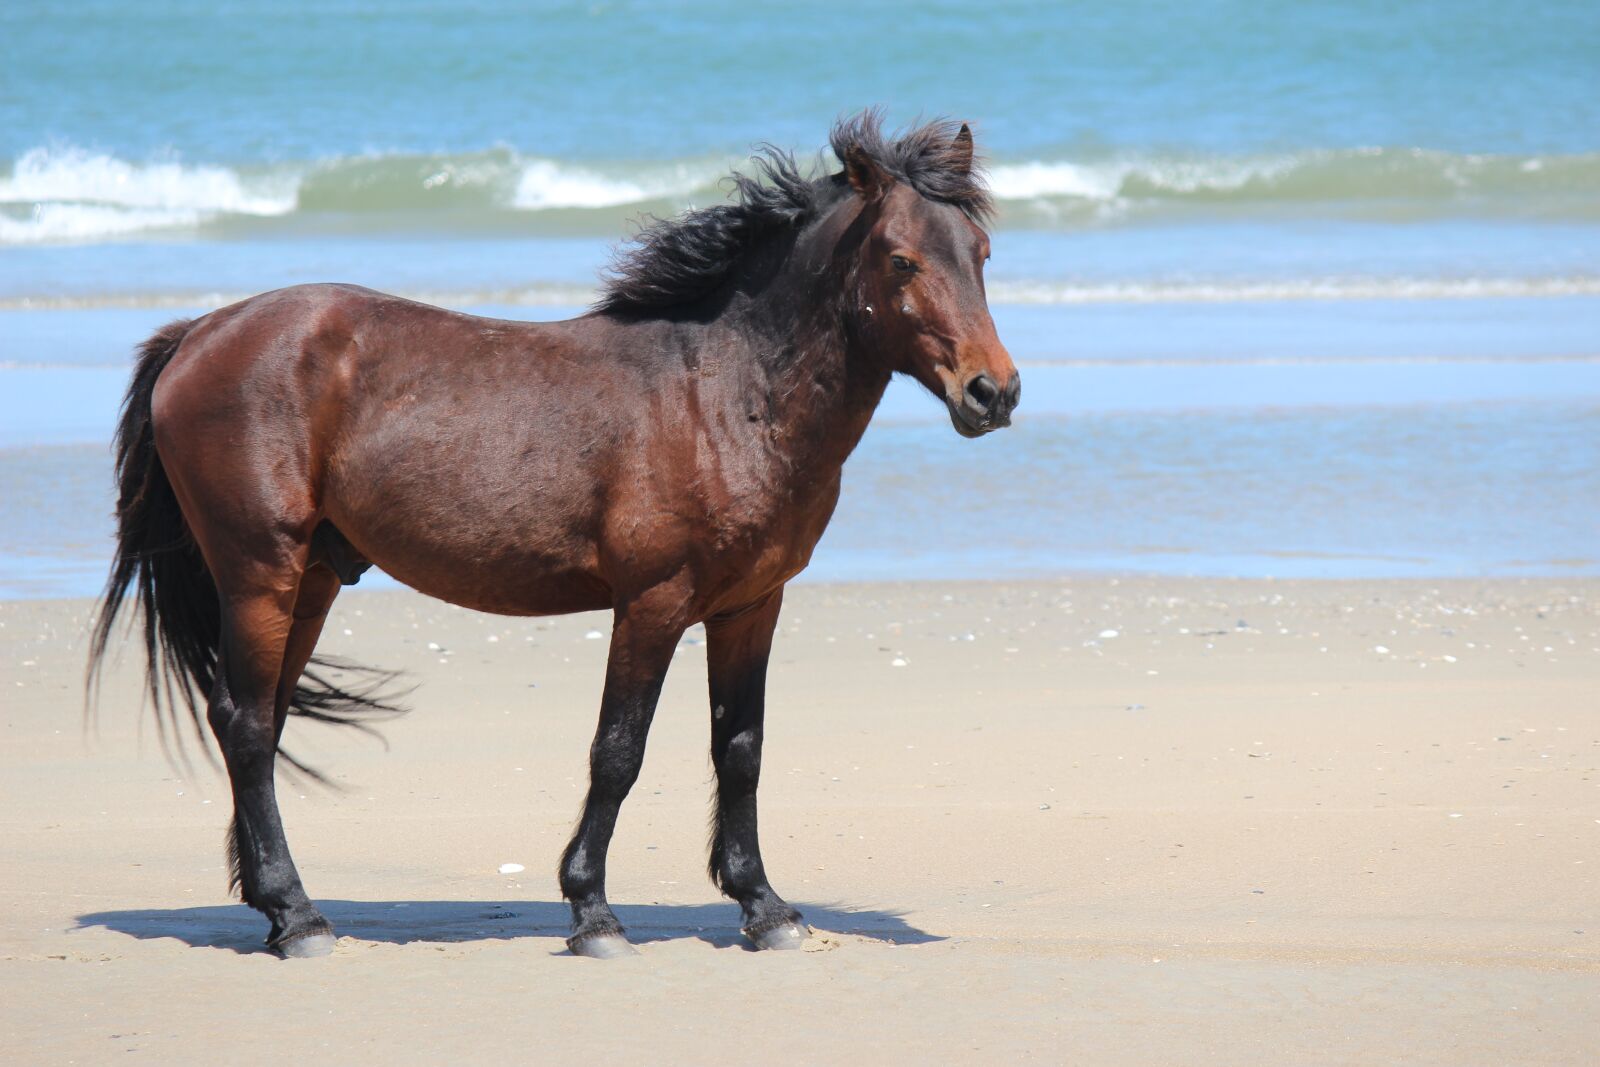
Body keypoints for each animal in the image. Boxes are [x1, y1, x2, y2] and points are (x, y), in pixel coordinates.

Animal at [86, 112, 1019, 959]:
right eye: (901, 259)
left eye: (979, 251)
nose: (994, 392)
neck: (721, 390)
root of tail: (198, 334)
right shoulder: (652, 604)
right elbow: (618, 752)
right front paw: (594, 913)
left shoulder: (751, 606)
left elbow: (740, 750)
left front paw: (765, 907)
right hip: (259, 573)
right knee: (245, 725)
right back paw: (299, 916)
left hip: (309, 580)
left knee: (265, 720)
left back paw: (271, 903)